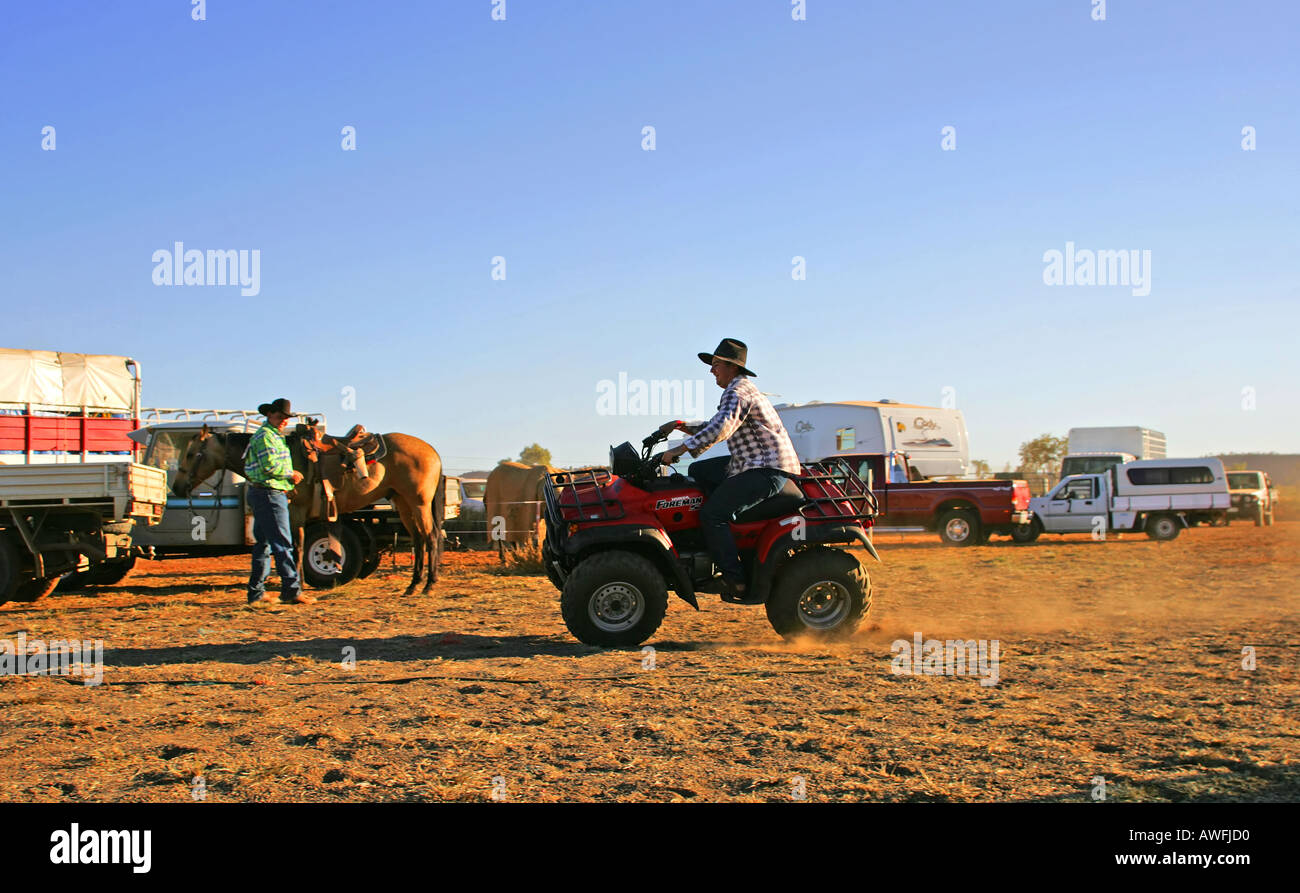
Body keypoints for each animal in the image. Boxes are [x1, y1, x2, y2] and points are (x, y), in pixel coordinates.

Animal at [174, 423, 447, 597]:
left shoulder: (295, 512)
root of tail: (432, 451)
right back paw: (412, 585)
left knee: (431, 536)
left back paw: (429, 585)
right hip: (403, 502)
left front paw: (298, 585)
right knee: (418, 539)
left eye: (191, 453)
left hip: (419, 502)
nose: (177, 487)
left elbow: (296, 547)